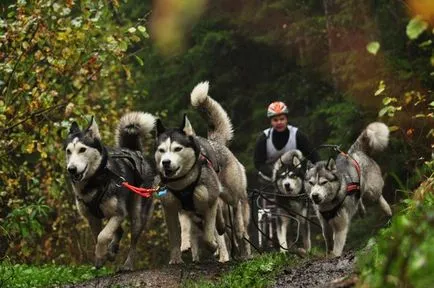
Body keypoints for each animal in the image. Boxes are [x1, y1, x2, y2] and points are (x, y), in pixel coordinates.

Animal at [64, 112, 156, 270]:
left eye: (82, 149)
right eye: (68, 151)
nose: (72, 169)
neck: (95, 183)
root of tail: (133, 150)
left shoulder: (119, 213)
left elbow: (102, 236)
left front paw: (101, 255)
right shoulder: (92, 217)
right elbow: (98, 236)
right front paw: (102, 256)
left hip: (137, 214)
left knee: (133, 242)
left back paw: (127, 264)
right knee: (120, 231)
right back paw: (112, 250)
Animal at [156, 81, 251, 264]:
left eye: (177, 149)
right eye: (162, 150)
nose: (166, 163)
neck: (184, 184)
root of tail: (215, 142)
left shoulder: (209, 202)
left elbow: (209, 237)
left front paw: (214, 248)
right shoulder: (172, 209)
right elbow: (177, 236)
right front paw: (176, 258)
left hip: (231, 193)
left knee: (236, 209)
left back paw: (238, 232)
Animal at [304, 121, 392, 256]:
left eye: (324, 182)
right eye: (311, 183)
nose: (314, 196)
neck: (329, 205)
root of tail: (353, 153)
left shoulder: (341, 225)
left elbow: (337, 247)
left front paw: (334, 256)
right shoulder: (325, 225)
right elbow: (328, 241)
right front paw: (328, 253)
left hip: (372, 191)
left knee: (378, 196)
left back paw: (386, 209)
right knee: (359, 197)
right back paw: (362, 210)